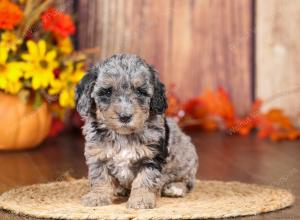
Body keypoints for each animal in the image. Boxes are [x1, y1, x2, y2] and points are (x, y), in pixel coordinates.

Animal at [75, 54, 198, 209]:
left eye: (140, 91)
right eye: (107, 91)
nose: (125, 116)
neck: (123, 136)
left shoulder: (151, 157)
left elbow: (145, 179)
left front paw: (141, 200)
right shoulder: (98, 155)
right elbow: (100, 177)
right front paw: (97, 196)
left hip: (186, 161)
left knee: (188, 182)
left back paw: (175, 188)